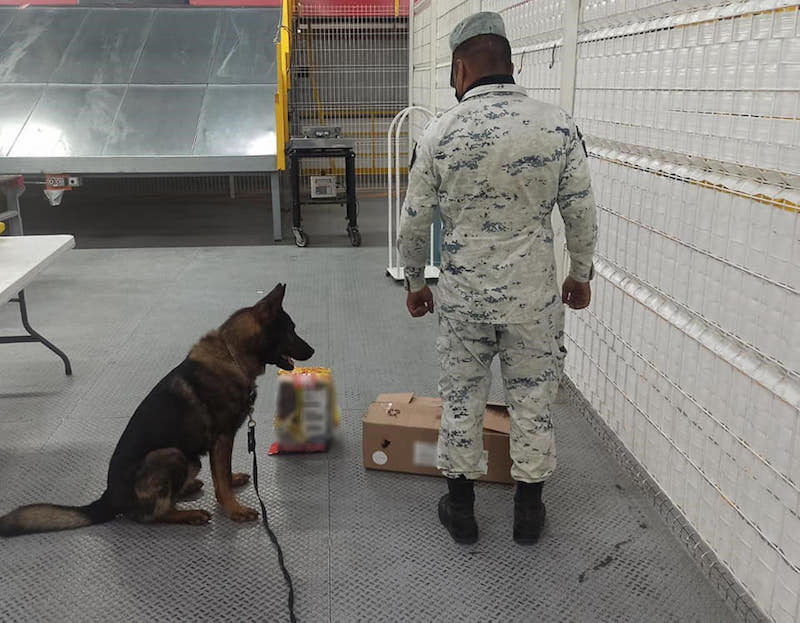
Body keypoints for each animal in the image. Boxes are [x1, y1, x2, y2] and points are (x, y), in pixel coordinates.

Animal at [0, 286, 312, 540]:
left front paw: (232, 480)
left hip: (190, 458)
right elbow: (221, 480)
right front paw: (233, 509)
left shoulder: (220, 444)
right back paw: (189, 514)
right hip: (171, 454)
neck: (232, 354)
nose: (312, 350)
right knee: (154, 514)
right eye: (291, 330)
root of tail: (108, 498)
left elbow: (221, 473)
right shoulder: (222, 438)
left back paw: (188, 487)